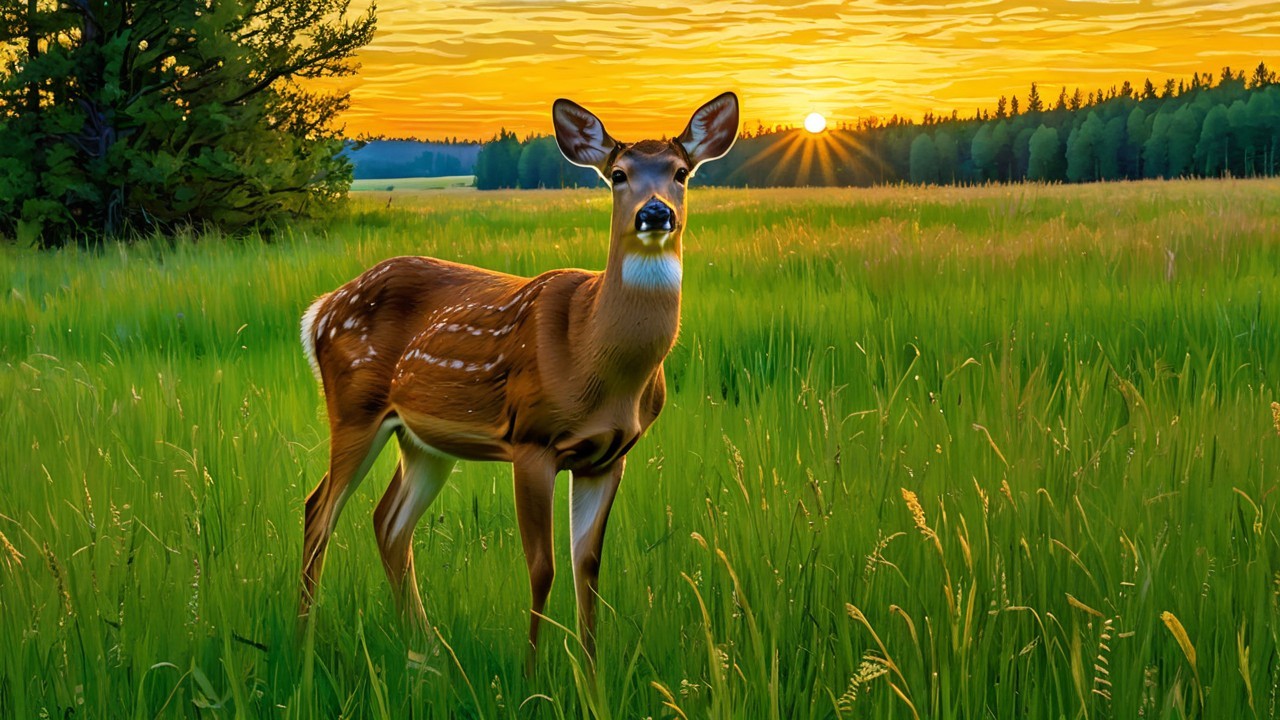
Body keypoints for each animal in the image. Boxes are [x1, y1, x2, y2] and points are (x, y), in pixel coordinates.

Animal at [297, 92, 739, 666]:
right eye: (618, 175)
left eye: (681, 173)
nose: (655, 212)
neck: (593, 354)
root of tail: (320, 310)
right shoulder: (532, 438)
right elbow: (542, 568)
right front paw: (532, 672)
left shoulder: (609, 456)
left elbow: (587, 570)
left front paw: (591, 673)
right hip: (354, 406)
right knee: (319, 510)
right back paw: (303, 640)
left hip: (423, 439)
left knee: (388, 522)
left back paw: (427, 649)